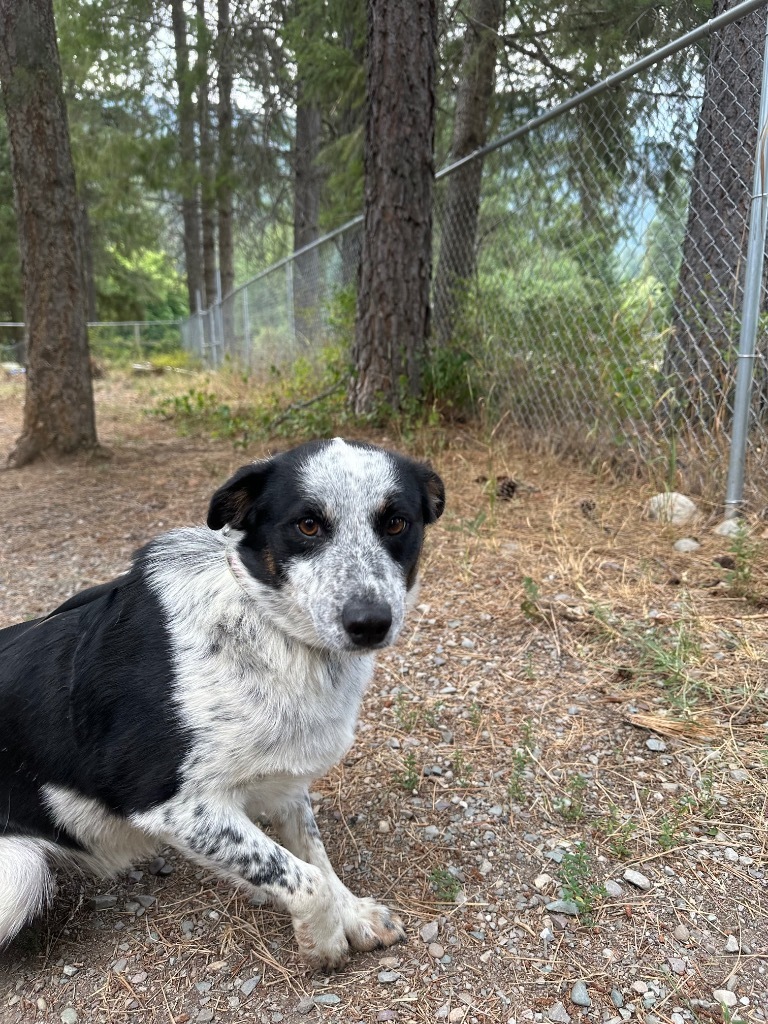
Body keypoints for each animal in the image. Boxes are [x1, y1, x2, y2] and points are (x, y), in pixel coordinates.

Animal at [0, 438, 444, 966]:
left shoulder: (284, 778)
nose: (370, 623)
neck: (272, 631)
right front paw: (323, 939)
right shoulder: (172, 806)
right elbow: (305, 877)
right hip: (20, 875)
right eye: (307, 525)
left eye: (396, 523)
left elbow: (314, 854)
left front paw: (352, 912)